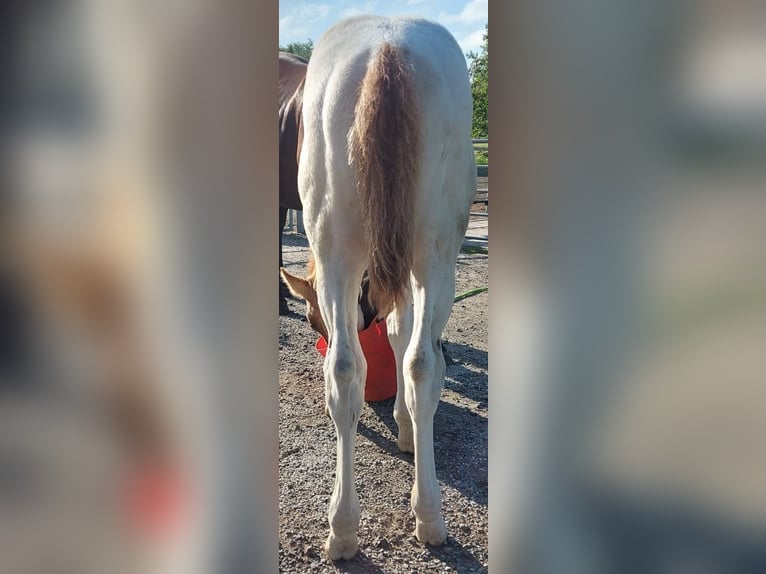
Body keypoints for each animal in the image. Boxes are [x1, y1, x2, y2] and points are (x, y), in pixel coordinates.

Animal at [293, 15, 476, 559]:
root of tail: (387, 45)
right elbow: (401, 336)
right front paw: (406, 427)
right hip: (435, 258)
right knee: (419, 363)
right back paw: (424, 516)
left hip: (342, 254)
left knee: (347, 368)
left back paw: (344, 528)